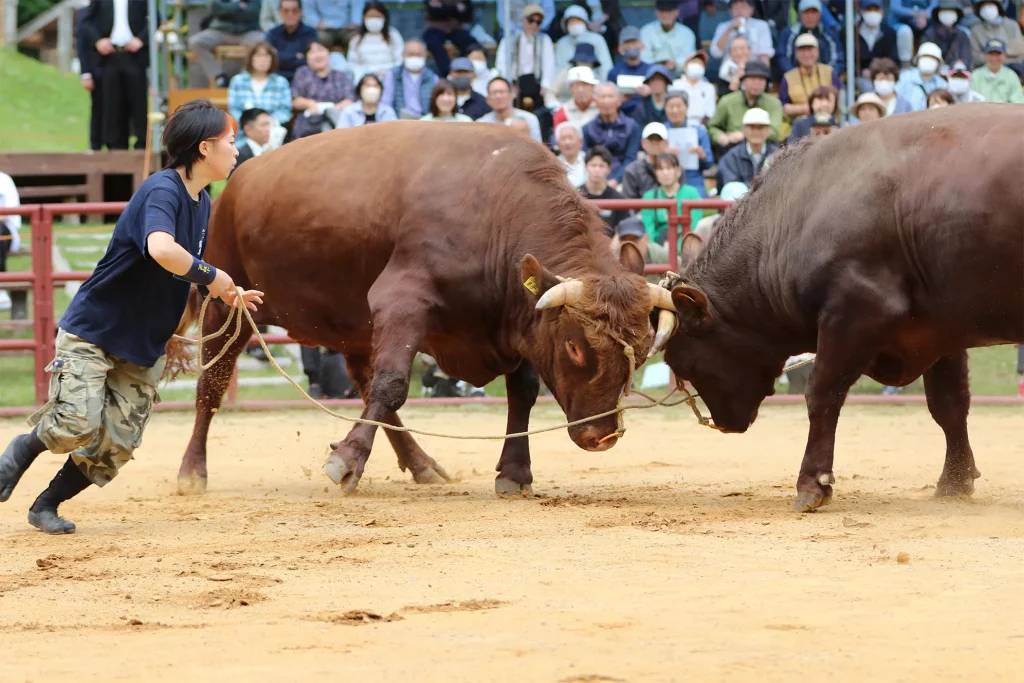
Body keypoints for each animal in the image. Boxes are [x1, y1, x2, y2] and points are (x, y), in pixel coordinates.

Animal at [171, 121, 675, 497]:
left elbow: (523, 392)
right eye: (574, 348)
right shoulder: (401, 301)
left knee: (364, 381)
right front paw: (346, 460)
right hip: (225, 306)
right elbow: (394, 384)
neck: (495, 209)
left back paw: (420, 463)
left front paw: (515, 471)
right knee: (212, 386)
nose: (601, 437)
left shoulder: (517, 323)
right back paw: (192, 471)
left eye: (642, 351)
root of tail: (237, 181)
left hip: (354, 326)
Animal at [647, 104, 1024, 511]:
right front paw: (954, 481)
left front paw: (812, 483)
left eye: (685, 362)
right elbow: (949, 403)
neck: (797, 214)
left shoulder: (854, 314)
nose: (724, 423)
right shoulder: (939, 329)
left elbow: (822, 392)